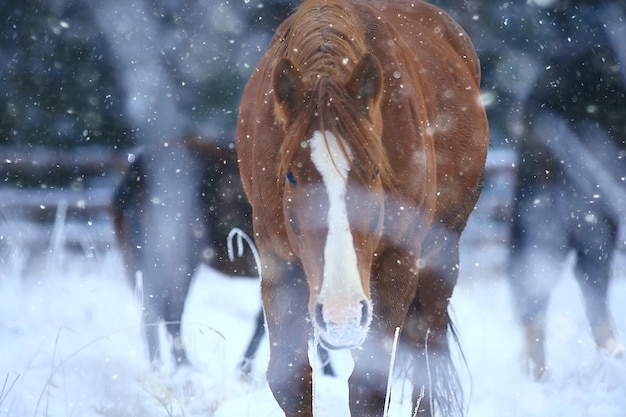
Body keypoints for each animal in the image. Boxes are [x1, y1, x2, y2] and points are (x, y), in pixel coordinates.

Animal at [235, 0, 488, 416]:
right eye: (290, 175)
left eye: (374, 171)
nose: (342, 316)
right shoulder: (277, 267)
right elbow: (291, 381)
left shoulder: (397, 266)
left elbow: (369, 386)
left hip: (441, 255)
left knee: (427, 355)